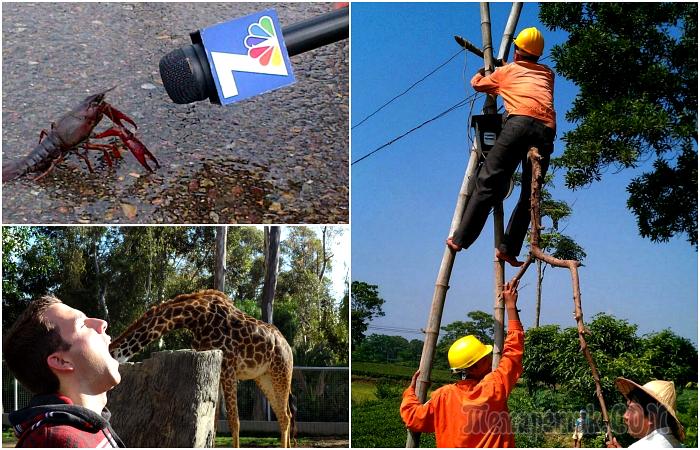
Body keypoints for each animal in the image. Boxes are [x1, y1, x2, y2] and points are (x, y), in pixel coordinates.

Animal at [109, 290, 296, 448]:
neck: (194, 318)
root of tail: (287, 346)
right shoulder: (216, 365)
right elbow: (214, 421)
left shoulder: (229, 367)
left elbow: (234, 421)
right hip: (264, 377)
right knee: (284, 414)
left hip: (281, 372)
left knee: (285, 416)